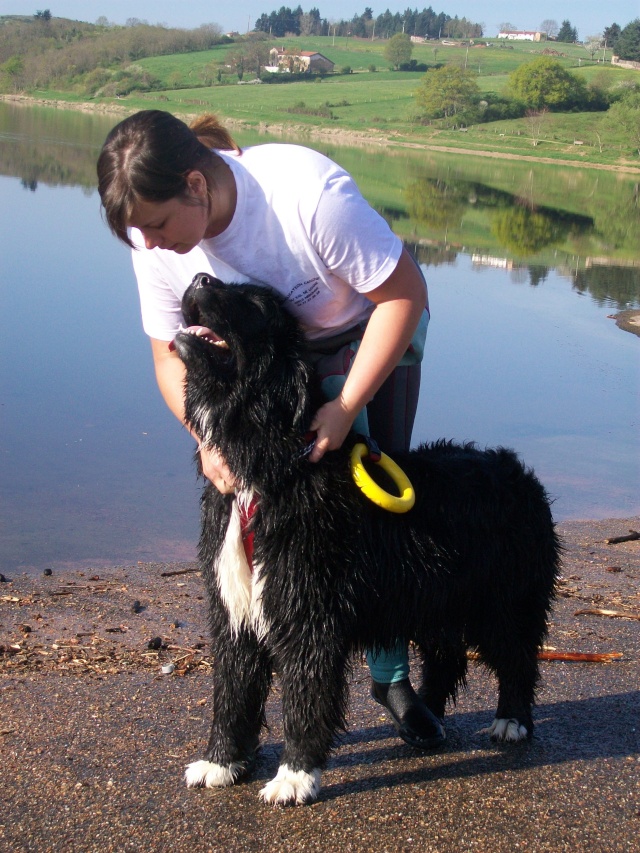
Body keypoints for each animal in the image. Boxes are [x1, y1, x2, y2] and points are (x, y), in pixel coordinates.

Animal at [171, 274, 560, 804]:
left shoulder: (309, 614)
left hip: (501, 599)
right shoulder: (235, 608)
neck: (268, 465)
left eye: (253, 302)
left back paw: (511, 720)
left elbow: (304, 696)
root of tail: (522, 473)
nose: (199, 278)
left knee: (517, 655)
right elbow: (232, 690)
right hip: (431, 598)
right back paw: (427, 713)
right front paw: (221, 762)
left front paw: (294, 775)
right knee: (447, 658)